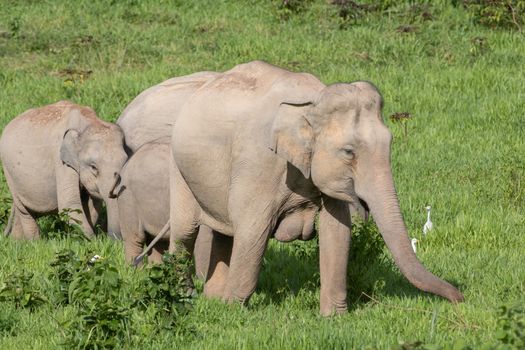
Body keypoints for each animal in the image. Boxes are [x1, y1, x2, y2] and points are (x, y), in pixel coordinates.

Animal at [0, 100, 127, 239]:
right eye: (93, 167)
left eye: (125, 161)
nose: (115, 240)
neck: (89, 122)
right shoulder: (61, 161)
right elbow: (69, 204)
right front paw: (92, 240)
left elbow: (92, 204)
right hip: (8, 172)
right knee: (24, 211)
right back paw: (34, 241)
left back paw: (17, 241)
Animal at [169, 61, 462, 316]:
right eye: (348, 152)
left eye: (390, 143)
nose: (460, 298)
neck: (311, 101)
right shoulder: (258, 164)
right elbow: (253, 231)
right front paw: (233, 311)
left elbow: (337, 231)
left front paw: (334, 317)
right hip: (178, 169)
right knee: (185, 232)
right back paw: (185, 297)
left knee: (223, 234)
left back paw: (212, 298)